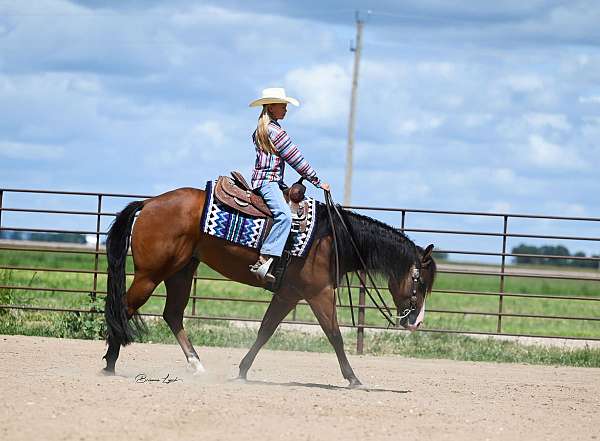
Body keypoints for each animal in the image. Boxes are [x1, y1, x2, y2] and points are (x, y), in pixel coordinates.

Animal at [104, 186, 436, 384]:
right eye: (419, 282)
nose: (416, 322)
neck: (330, 238)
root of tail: (148, 203)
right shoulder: (318, 293)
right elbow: (335, 336)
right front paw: (353, 378)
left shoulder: (289, 294)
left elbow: (265, 330)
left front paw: (241, 371)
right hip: (151, 273)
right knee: (124, 308)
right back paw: (109, 364)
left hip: (181, 272)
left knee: (172, 314)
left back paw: (196, 365)